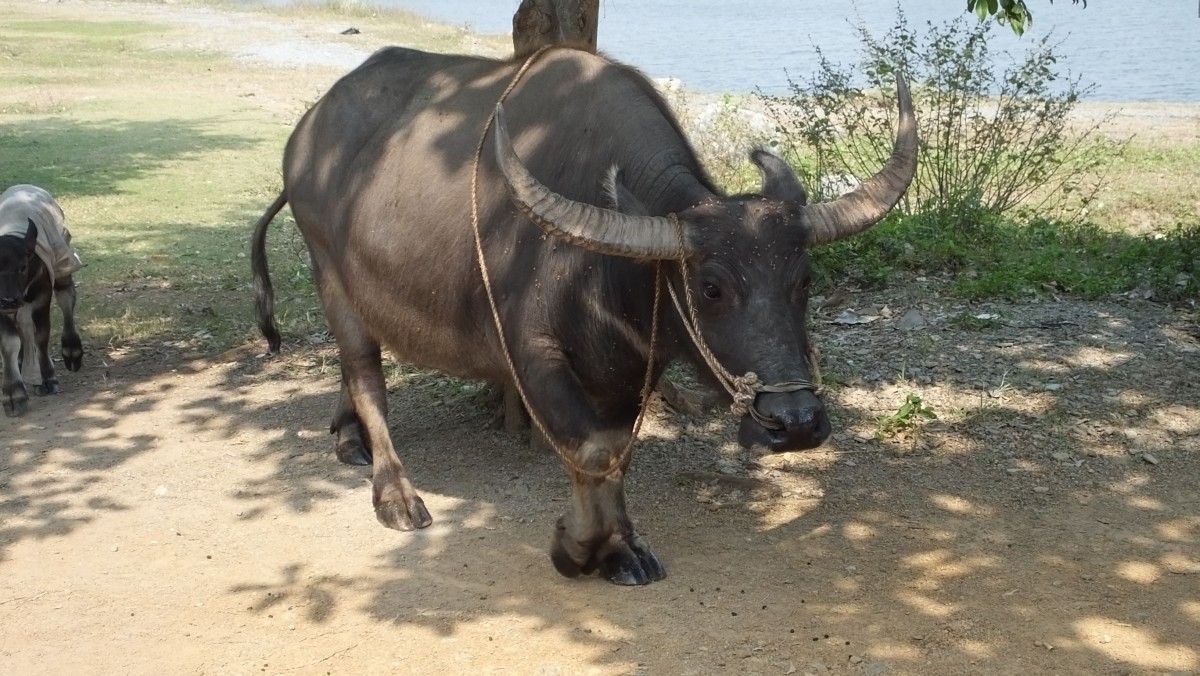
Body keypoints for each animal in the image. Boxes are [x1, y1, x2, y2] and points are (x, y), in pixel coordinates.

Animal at [0, 184, 83, 417]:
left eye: (23, 266)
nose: (8, 300)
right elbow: (9, 342)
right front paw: (13, 393)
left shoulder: (42, 298)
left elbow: (41, 336)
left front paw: (47, 379)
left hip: (63, 260)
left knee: (66, 298)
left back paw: (72, 350)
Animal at [248, 46, 912, 588]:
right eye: (712, 287)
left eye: (805, 281)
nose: (795, 423)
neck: (610, 272)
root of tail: (307, 134)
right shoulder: (531, 354)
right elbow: (590, 453)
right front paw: (574, 548)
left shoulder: (628, 367)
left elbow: (614, 455)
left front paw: (620, 551)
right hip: (328, 271)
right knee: (364, 372)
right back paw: (395, 495)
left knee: (349, 368)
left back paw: (348, 439)